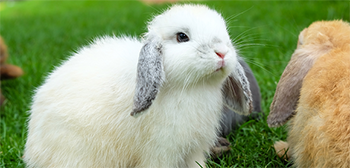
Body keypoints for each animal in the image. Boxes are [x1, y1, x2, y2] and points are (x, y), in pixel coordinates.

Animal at [23, 4, 252, 168]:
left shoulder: (194, 150)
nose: (222, 53)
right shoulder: (161, 152)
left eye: (225, 32)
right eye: (182, 37)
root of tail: (31, 150)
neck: (193, 87)